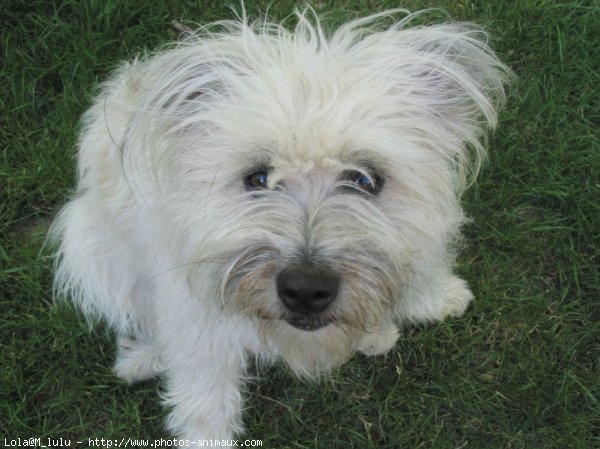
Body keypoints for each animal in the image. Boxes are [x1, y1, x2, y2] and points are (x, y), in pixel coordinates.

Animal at [52, 7, 510, 440]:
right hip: (88, 249)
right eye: (257, 178)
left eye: (365, 179)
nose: (306, 290)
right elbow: (204, 399)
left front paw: (437, 297)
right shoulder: (194, 318)